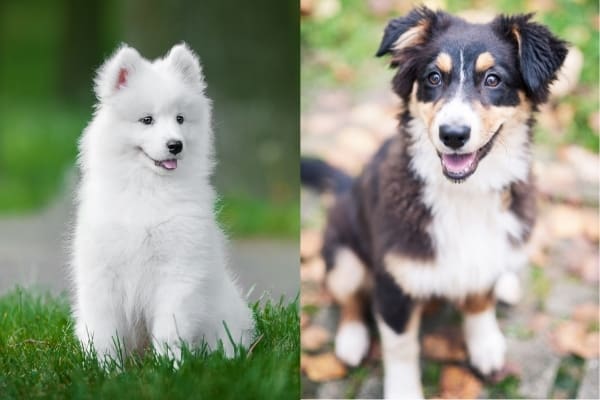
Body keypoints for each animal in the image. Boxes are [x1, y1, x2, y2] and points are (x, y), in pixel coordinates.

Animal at [300, 7, 568, 400]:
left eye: (493, 79)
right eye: (433, 77)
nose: (453, 135)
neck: (464, 193)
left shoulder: (485, 258)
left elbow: (479, 302)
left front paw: (485, 346)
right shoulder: (393, 285)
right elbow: (400, 348)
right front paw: (403, 391)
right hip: (343, 251)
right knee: (347, 296)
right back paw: (351, 339)